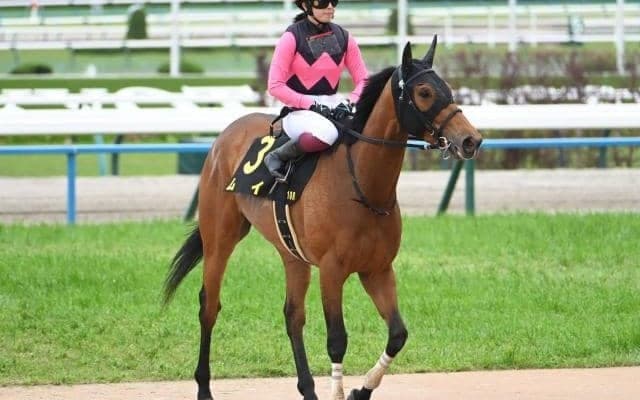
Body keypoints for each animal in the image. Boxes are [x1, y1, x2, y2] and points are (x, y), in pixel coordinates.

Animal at [164, 36, 482, 400]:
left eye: (448, 88)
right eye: (425, 92)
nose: (471, 140)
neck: (363, 186)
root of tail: (224, 135)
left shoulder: (378, 270)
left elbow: (398, 334)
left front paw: (361, 390)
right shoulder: (332, 271)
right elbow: (337, 340)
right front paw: (341, 392)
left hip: (291, 253)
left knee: (293, 315)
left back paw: (307, 389)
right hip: (220, 236)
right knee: (209, 305)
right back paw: (204, 387)